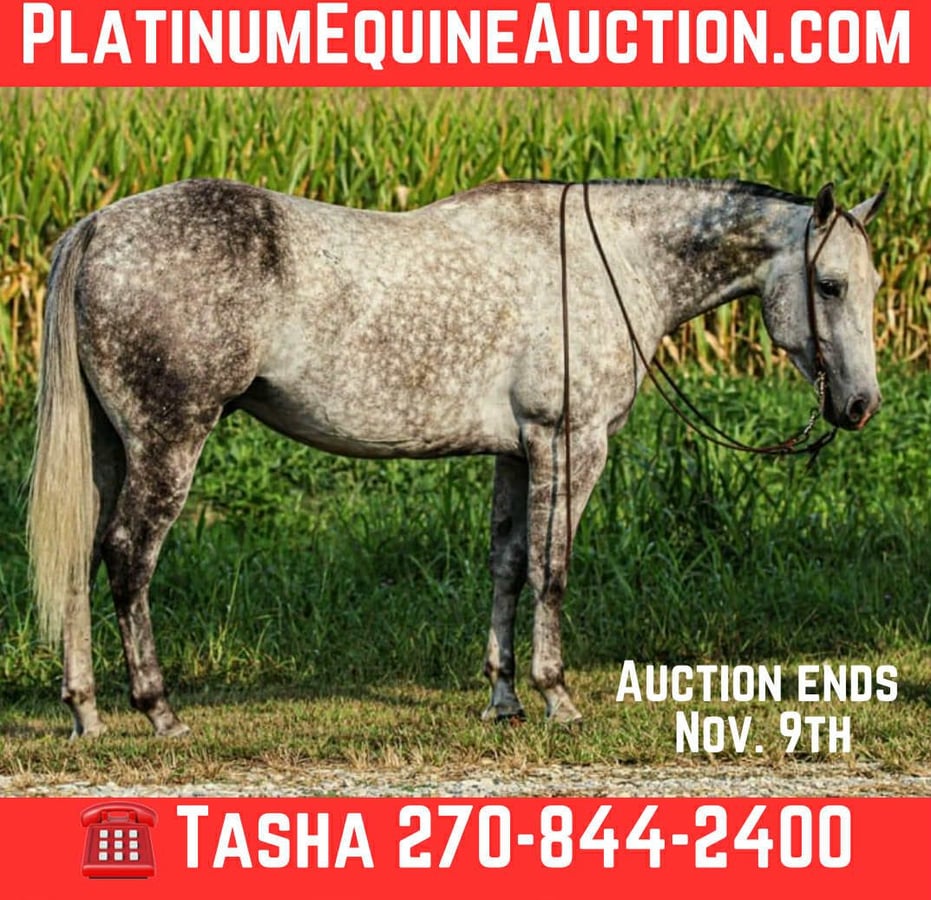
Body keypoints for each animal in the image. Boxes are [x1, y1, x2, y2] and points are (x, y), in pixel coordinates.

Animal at [28, 177, 886, 738]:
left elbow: (506, 566)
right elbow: (552, 569)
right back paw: (157, 710)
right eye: (829, 284)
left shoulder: (517, 452)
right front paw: (556, 696)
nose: (858, 406)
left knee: (78, 556)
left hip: (110, 449)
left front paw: (503, 699)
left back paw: (86, 712)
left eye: (873, 285)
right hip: (169, 441)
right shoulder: (570, 444)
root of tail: (98, 226)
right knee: (128, 558)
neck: (610, 263)